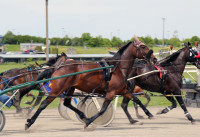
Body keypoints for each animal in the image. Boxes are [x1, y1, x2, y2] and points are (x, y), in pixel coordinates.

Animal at [22, 38, 156, 130]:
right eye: (143, 46)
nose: (154, 58)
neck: (116, 68)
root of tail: (59, 66)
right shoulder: (110, 92)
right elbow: (102, 110)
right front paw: (89, 121)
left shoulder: (123, 90)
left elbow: (136, 100)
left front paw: (147, 114)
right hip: (57, 90)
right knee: (43, 104)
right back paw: (29, 122)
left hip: (70, 88)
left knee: (67, 103)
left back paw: (82, 115)